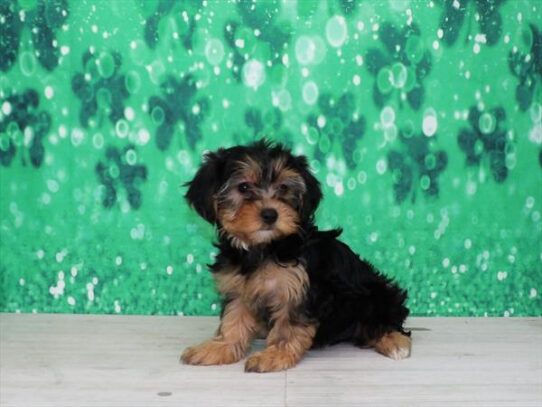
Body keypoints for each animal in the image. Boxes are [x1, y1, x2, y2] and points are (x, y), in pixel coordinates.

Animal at [181, 140, 410, 372]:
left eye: (283, 187)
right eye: (243, 187)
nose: (270, 214)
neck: (266, 247)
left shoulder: (300, 290)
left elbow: (288, 327)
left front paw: (274, 356)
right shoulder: (239, 288)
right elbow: (233, 318)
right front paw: (218, 348)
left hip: (375, 296)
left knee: (384, 322)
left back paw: (394, 342)